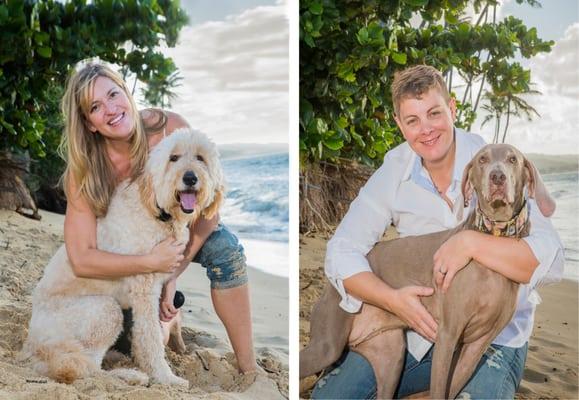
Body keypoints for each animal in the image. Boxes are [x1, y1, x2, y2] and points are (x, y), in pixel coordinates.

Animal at [20, 127, 224, 384]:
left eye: (200, 158)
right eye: (173, 158)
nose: (190, 178)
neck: (157, 211)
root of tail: (31, 346)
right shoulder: (144, 289)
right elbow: (151, 337)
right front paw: (165, 377)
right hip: (105, 311)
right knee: (85, 366)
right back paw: (127, 375)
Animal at [302, 144, 556, 400]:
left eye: (513, 159)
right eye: (482, 160)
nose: (497, 177)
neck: (494, 235)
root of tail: (330, 285)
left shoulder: (476, 348)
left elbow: (453, 387)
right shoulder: (447, 335)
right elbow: (439, 389)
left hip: (390, 356)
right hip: (327, 345)